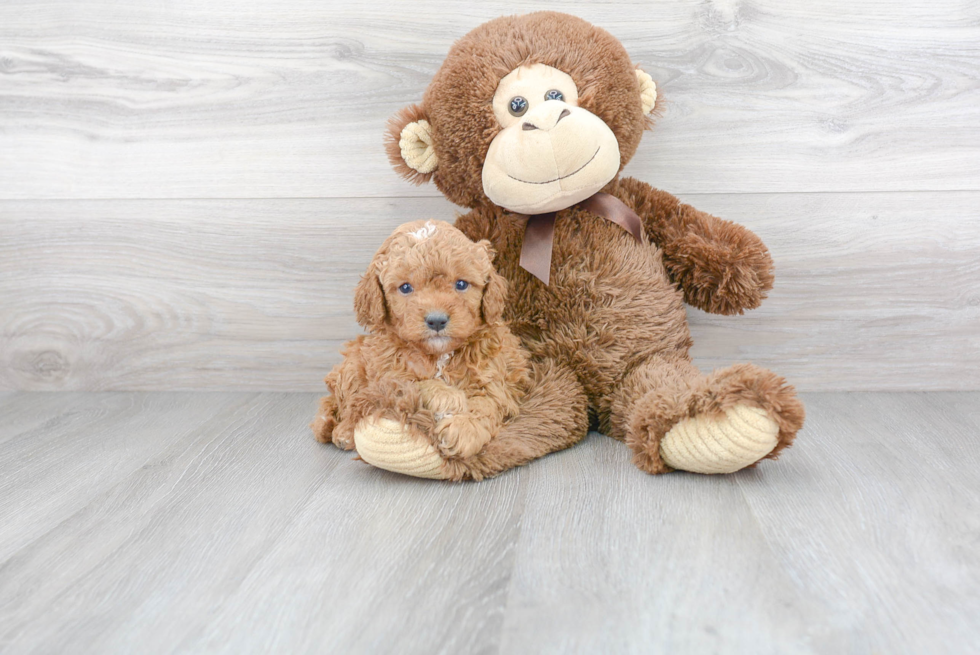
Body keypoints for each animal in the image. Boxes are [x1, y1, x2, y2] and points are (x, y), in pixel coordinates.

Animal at [312, 220, 528, 462]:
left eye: (461, 284)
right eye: (406, 287)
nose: (437, 320)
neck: (439, 354)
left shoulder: (493, 378)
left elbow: (486, 403)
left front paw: (463, 429)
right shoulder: (387, 375)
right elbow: (419, 383)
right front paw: (449, 397)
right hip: (352, 366)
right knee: (347, 404)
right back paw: (343, 432)